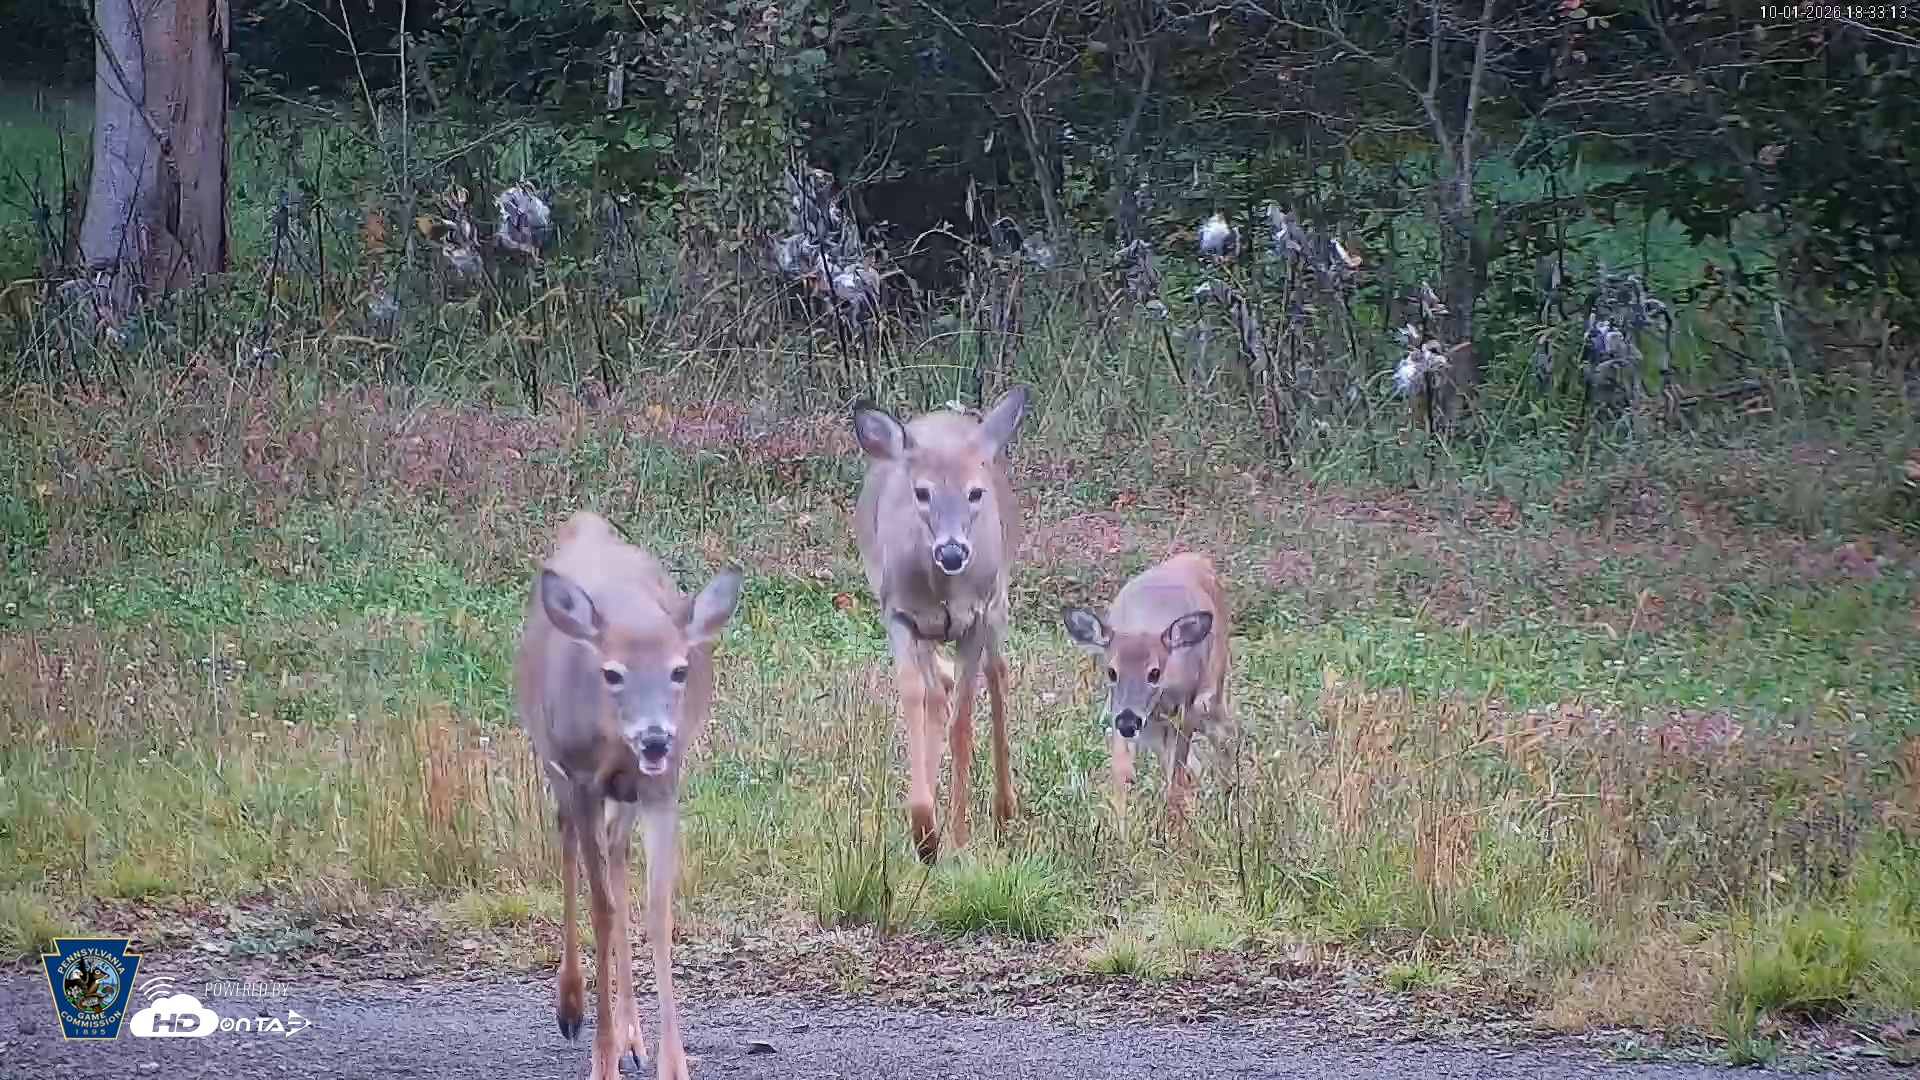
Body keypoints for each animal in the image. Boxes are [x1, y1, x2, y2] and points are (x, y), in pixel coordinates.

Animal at [513, 511, 744, 1080]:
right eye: (612, 673)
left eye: (679, 669)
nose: (656, 737)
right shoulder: (580, 776)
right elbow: (602, 908)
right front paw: (601, 1061)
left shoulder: (662, 785)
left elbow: (657, 907)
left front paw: (672, 1063)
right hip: (551, 758)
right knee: (567, 836)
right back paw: (572, 1007)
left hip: (627, 795)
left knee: (616, 854)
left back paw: (632, 1037)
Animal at [850, 386, 1030, 864]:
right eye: (922, 492)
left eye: (975, 492)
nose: (952, 551)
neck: (943, 588)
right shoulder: (898, 614)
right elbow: (915, 696)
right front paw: (924, 831)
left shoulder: (976, 616)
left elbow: (964, 722)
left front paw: (959, 838)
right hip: (929, 631)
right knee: (938, 691)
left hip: (999, 600)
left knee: (997, 674)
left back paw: (1004, 812)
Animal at [1061, 552, 1233, 821]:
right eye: (1111, 671)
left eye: (1154, 673)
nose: (1128, 722)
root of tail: (1198, 558)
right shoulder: (1117, 712)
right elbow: (1122, 775)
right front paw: (1120, 825)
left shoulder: (1186, 711)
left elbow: (1177, 775)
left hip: (1212, 689)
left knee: (1226, 735)